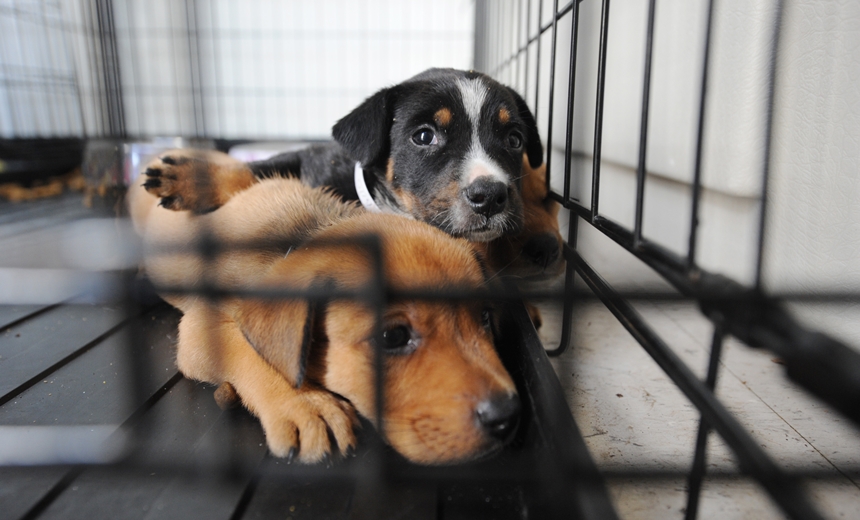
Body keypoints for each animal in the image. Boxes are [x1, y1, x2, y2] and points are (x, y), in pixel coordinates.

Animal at [127, 173, 516, 466]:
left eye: (484, 318)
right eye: (393, 337)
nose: (507, 417)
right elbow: (253, 351)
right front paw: (304, 404)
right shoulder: (199, 330)